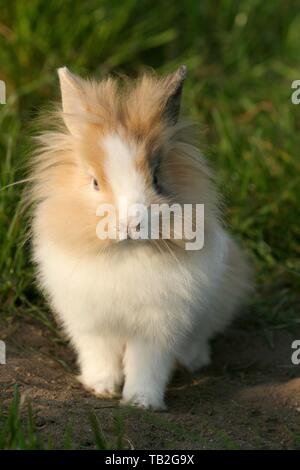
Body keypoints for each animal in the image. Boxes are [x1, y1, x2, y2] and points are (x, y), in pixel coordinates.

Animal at [28, 64, 253, 410]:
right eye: (94, 182)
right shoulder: (93, 326)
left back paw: (194, 360)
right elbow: (100, 357)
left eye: (157, 179)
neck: (125, 253)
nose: (131, 223)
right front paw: (101, 388)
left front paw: (141, 402)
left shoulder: (157, 328)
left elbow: (147, 366)